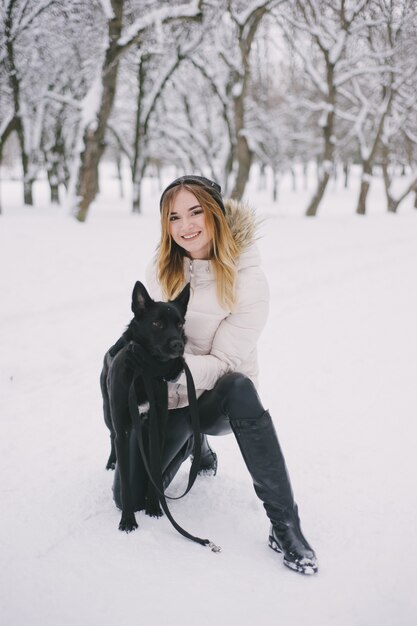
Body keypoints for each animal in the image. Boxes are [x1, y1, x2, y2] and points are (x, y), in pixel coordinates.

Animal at [100, 280, 191, 528]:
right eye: (157, 323)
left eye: (180, 324)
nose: (178, 345)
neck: (143, 370)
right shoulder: (123, 430)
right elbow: (126, 484)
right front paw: (128, 521)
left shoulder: (157, 428)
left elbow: (155, 474)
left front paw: (154, 508)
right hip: (108, 413)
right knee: (110, 436)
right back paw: (111, 462)